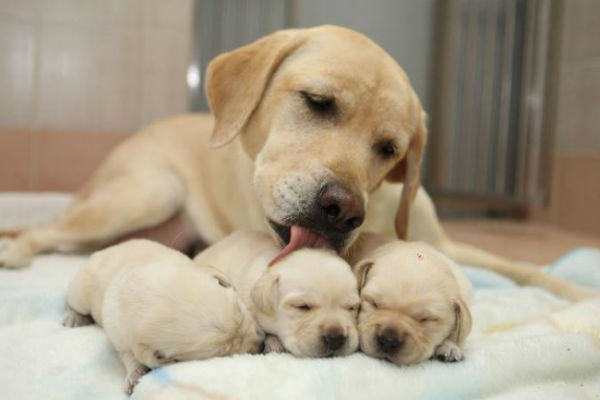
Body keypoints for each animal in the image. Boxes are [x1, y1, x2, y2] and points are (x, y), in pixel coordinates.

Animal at [0, 25, 592, 300]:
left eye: (390, 150)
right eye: (317, 101)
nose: (343, 210)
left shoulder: (445, 244)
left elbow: (526, 267)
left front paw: (578, 291)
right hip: (144, 194)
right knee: (41, 230)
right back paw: (16, 252)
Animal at [62, 239, 264, 396]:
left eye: (240, 310)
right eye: (222, 352)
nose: (260, 344)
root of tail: (101, 251)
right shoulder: (120, 337)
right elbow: (130, 356)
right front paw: (135, 375)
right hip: (80, 292)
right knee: (73, 302)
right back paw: (74, 317)